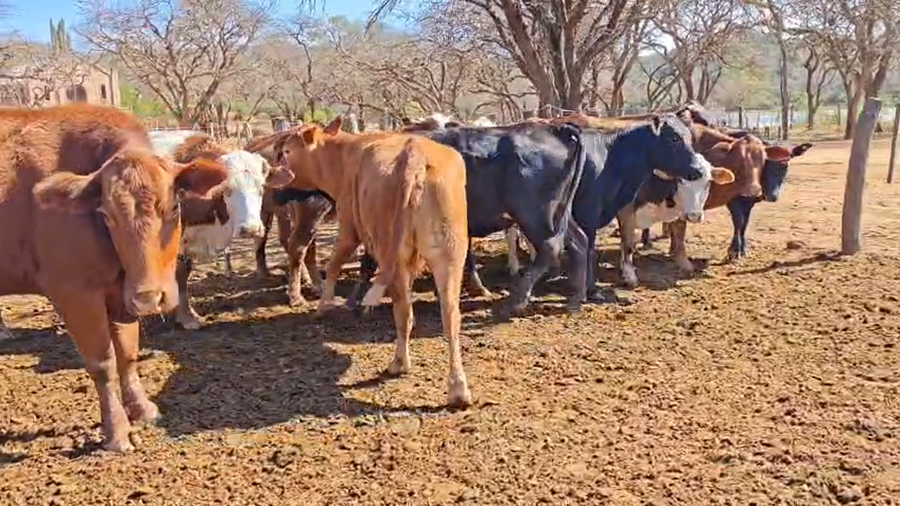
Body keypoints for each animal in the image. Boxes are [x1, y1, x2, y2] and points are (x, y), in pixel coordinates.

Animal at [0, 103, 229, 451]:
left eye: (174, 207)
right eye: (107, 216)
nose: (150, 297)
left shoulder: (121, 294)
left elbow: (127, 353)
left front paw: (142, 408)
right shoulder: (74, 293)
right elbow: (103, 362)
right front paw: (117, 430)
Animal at [279, 117, 472, 407]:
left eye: (287, 151)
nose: (275, 177)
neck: (344, 154)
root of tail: (414, 154)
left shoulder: (349, 227)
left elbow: (334, 264)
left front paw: (325, 304)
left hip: (392, 252)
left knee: (403, 310)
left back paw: (399, 363)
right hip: (449, 253)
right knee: (450, 316)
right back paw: (458, 390)